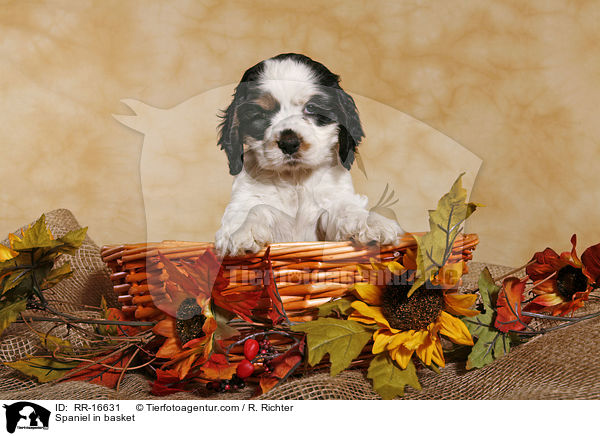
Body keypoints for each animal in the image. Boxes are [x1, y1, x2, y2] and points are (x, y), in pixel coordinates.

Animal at [216, 52, 404, 255]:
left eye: (311, 108)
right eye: (261, 115)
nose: (289, 143)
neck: (295, 178)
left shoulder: (331, 201)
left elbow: (345, 207)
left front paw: (371, 222)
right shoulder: (245, 198)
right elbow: (255, 208)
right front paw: (241, 231)